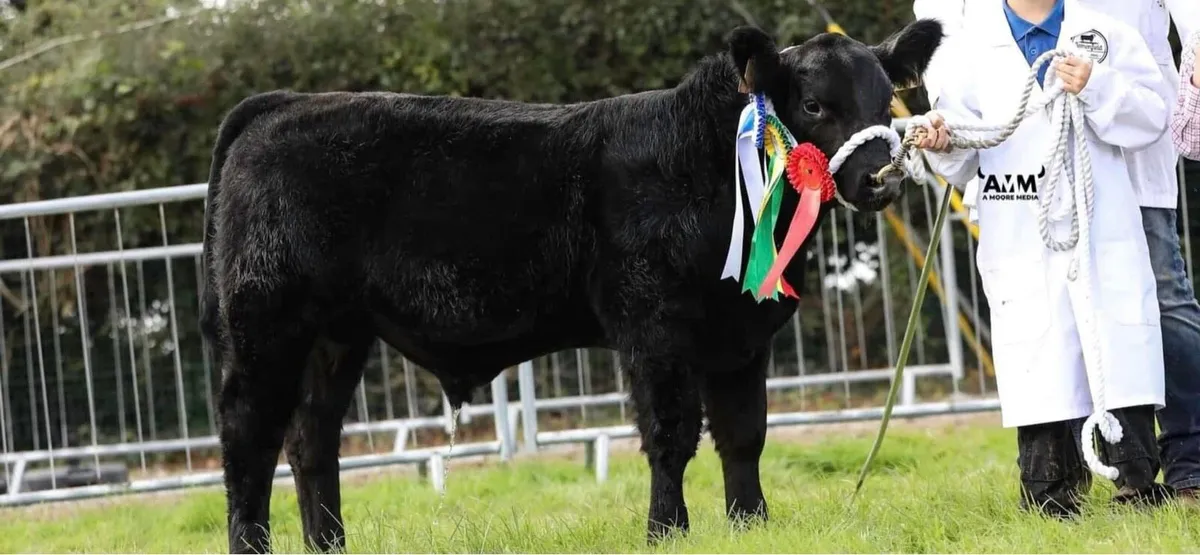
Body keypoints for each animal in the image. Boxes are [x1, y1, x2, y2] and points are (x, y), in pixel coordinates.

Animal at [199, 21, 943, 553]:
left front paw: (751, 525)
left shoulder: (742, 333)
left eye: (886, 102)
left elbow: (744, 433)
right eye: (815, 104)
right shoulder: (654, 324)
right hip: (267, 323)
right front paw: (666, 533)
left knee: (311, 439)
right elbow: (671, 432)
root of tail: (282, 106)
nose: (883, 179)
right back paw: (252, 546)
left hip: (336, 333)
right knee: (248, 439)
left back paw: (329, 545)